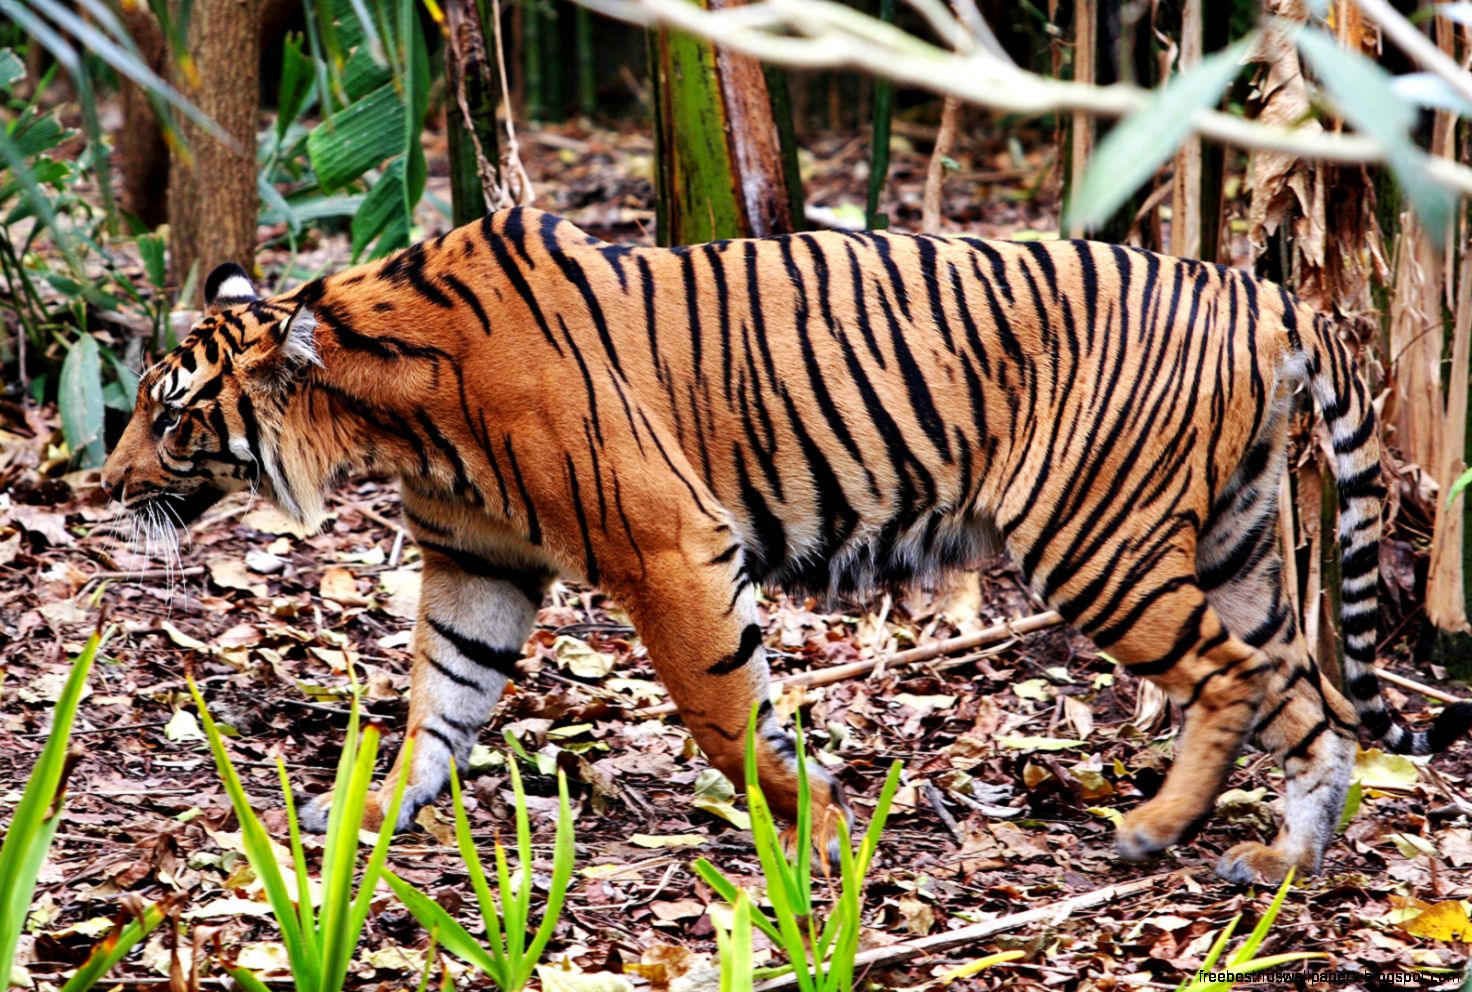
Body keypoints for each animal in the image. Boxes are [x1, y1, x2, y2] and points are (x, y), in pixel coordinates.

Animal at [99, 206, 1472, 884]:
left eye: (167, 415)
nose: (100, 481)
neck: (384, 413)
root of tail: (1267, 287)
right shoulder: (477, 563)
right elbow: (438, 699)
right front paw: (365, 819)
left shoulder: (668, 544)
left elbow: (721, 713)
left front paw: (809, 827)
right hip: (1239, 542)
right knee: (1306, 695)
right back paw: (1280, 855)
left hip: (1098, 537)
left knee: (1237, 679)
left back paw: (1152, 832)